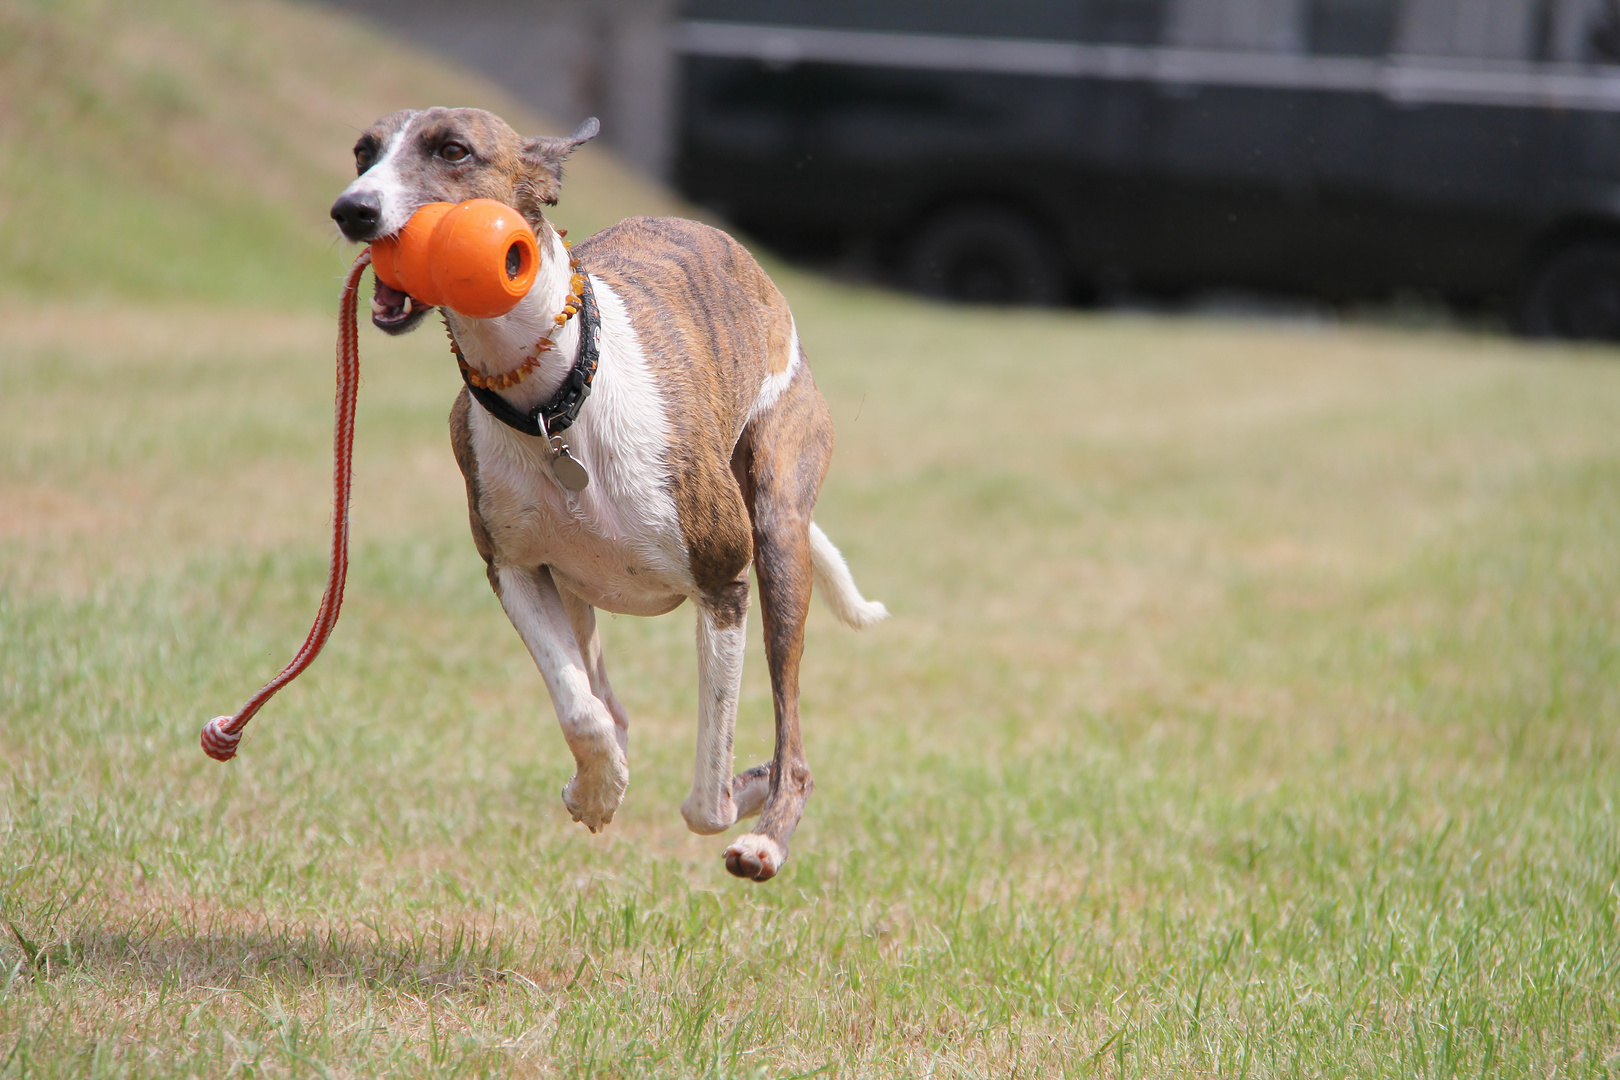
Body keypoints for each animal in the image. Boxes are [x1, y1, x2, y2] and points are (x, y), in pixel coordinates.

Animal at [330, 107, 887, 880]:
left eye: (453, 151)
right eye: (363, 152)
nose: (353, 209)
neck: (553, 398)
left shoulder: (723, 585)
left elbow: (707, 801)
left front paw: (738, 790)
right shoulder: (516, 569)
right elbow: (583, 711)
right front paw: (597, 790)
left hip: (779, 527)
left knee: (792, 743)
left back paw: (767, 830)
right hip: (578, 589)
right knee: (609, 702)